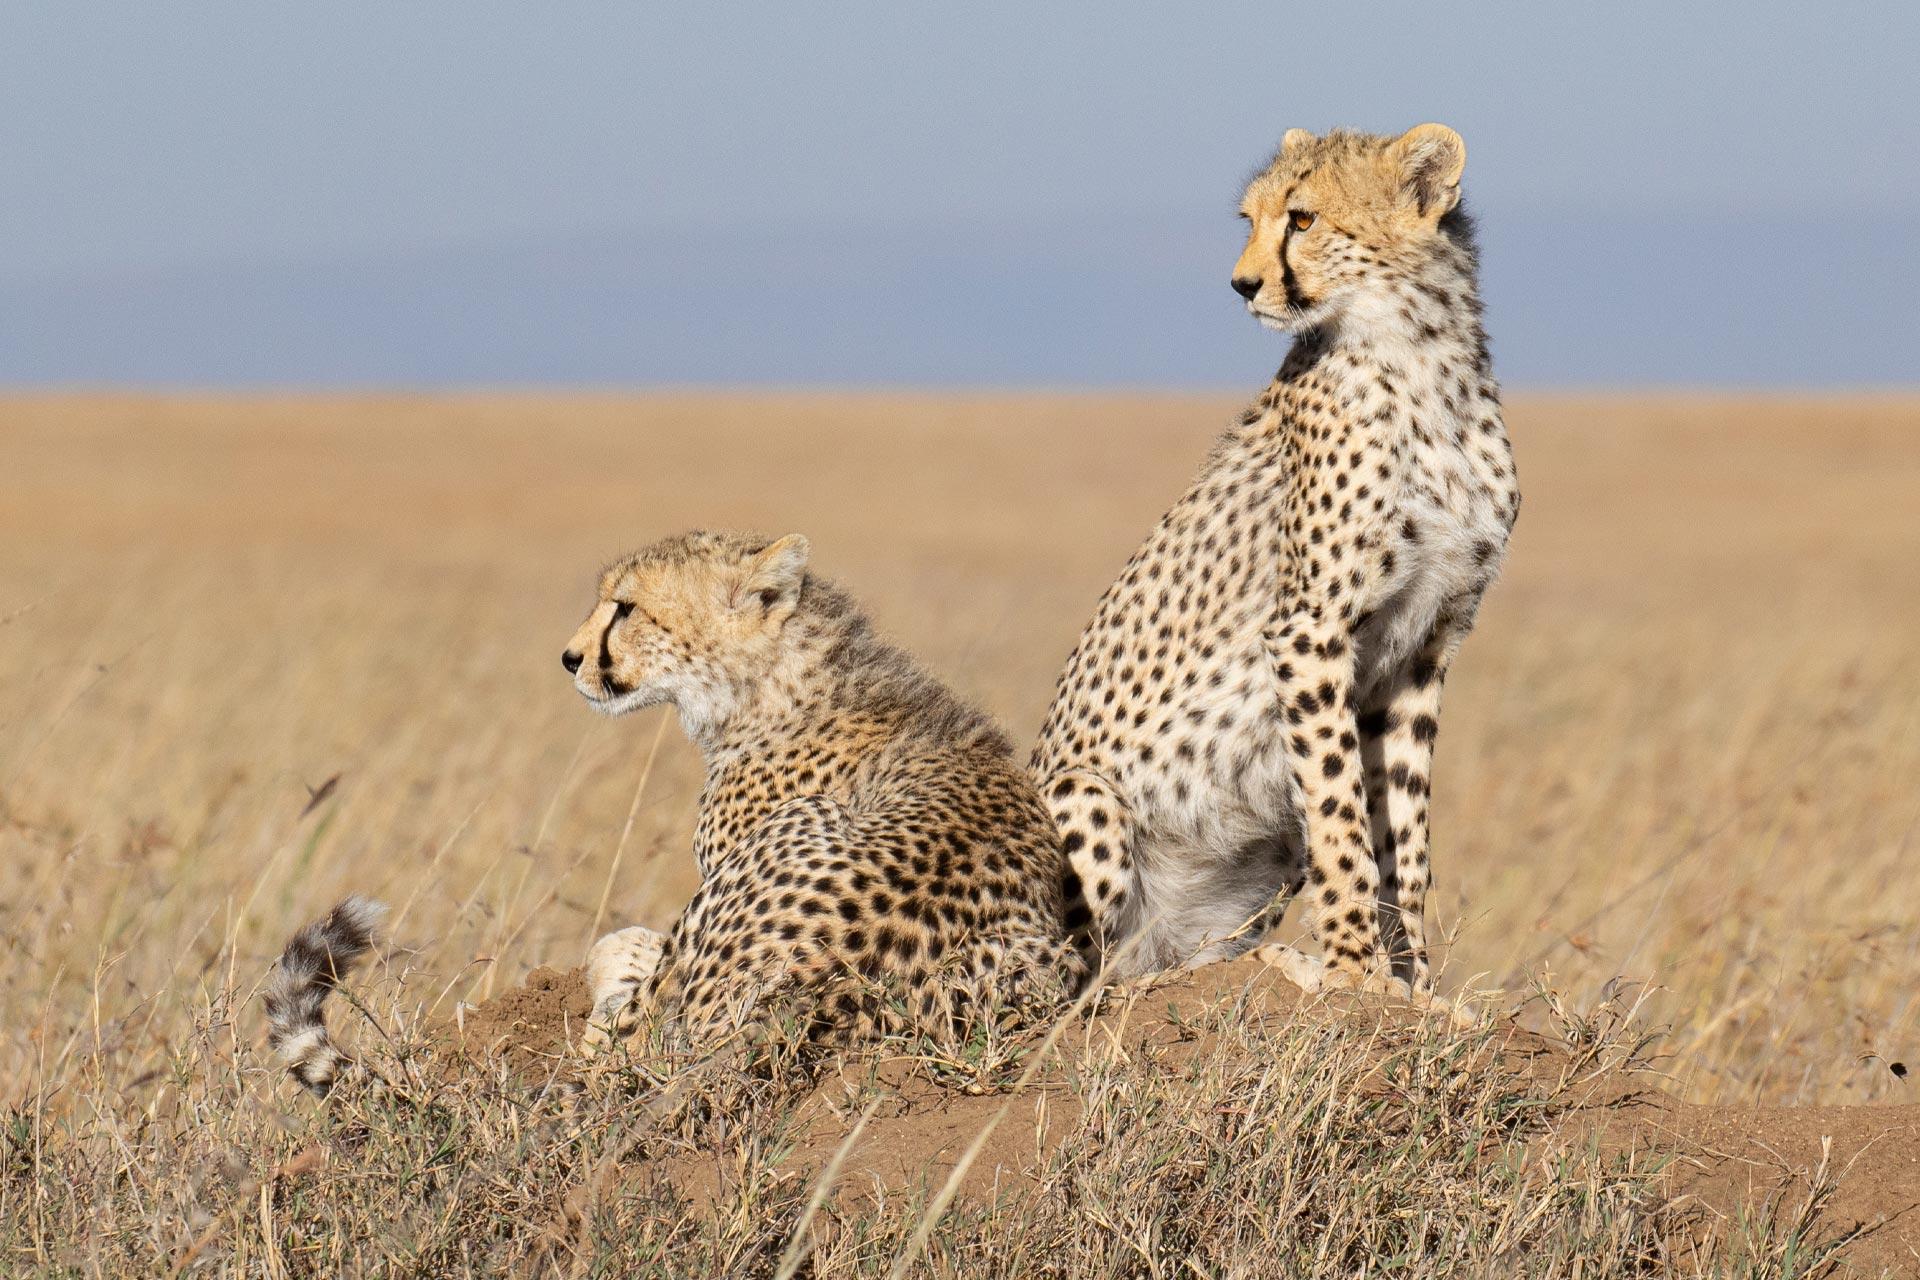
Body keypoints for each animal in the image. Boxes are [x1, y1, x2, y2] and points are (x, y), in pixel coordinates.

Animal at [1032, 123, 1518, 997]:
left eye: (1302, 218)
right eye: (1250, 219)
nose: (1243, 284)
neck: (1423, 362)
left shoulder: (1426, 647)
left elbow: (1404, 836)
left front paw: (1418, 987)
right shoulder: (1308, 630)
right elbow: (1340, 816)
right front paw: (1358, 974)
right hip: (1083, 797)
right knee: (1071, 990)